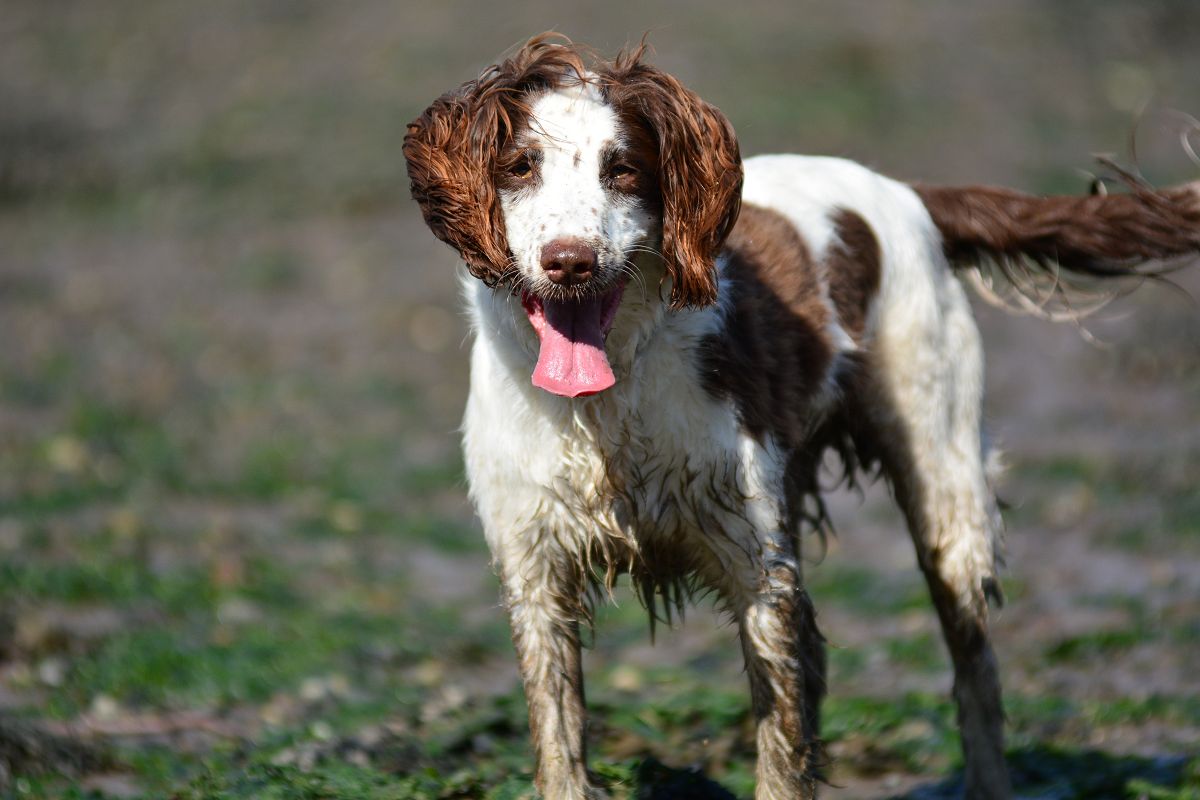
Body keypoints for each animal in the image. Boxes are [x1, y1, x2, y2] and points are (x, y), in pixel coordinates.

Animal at [403, 34, 1200, 796]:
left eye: (623, 170)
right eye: (519, 165)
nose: (570, 261)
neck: (610, 401)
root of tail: (901, 190)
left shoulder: (761, 569)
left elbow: (784, 741)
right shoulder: (535, 573)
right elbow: (558, 739)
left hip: (945, 490)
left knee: (976, 668)